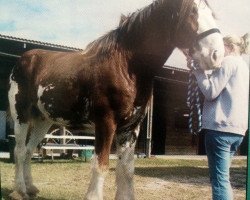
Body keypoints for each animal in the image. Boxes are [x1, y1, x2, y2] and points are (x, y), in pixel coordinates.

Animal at [8, 0, 225, 199]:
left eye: (212, 13)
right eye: (192, 13)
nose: (217, 55)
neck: (126, 66)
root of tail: (23, 60)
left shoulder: (131, 128)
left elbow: (126, 169)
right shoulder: (106, 123)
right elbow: (101, 165)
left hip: (43, 121)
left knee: (29, 150)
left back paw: (31, 188)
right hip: (21, 116)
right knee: (19, 150)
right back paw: (19, 191)